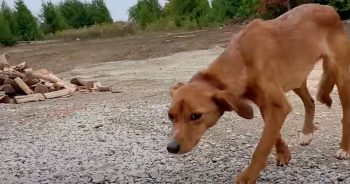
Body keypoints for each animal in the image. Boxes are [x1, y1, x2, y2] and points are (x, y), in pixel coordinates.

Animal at [166, 3, 350, 184]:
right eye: (170, 116)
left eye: (196, 116)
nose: (171, 148)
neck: (242, 58)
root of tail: (329, 9)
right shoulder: (265, 105)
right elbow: (274, 135)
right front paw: (284, 153)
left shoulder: (278, 106)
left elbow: (262, 147)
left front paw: (247, 177)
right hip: (296, 78)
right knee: (310, 102)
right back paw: (307, 133)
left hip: (341, 77)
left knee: (345, 115)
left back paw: (344, 148)